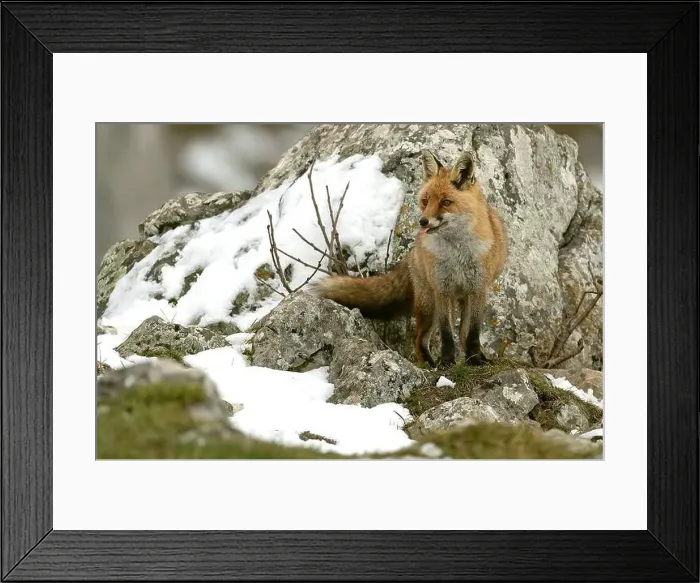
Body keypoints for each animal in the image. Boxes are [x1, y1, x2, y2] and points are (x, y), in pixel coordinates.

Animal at [313, 149, 508, 368]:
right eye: (425, 201)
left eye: (445, 202)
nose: (423, 221)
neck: (457, 254)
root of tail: (413, 252)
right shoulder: (442, 289)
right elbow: (447, 334)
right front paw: (447, 361)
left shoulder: (477, 289)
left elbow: (473, 333)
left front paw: (475, 359)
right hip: (429, 304)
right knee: (420, 339)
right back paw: (430, 364)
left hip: (460, 299)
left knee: (463, 333)